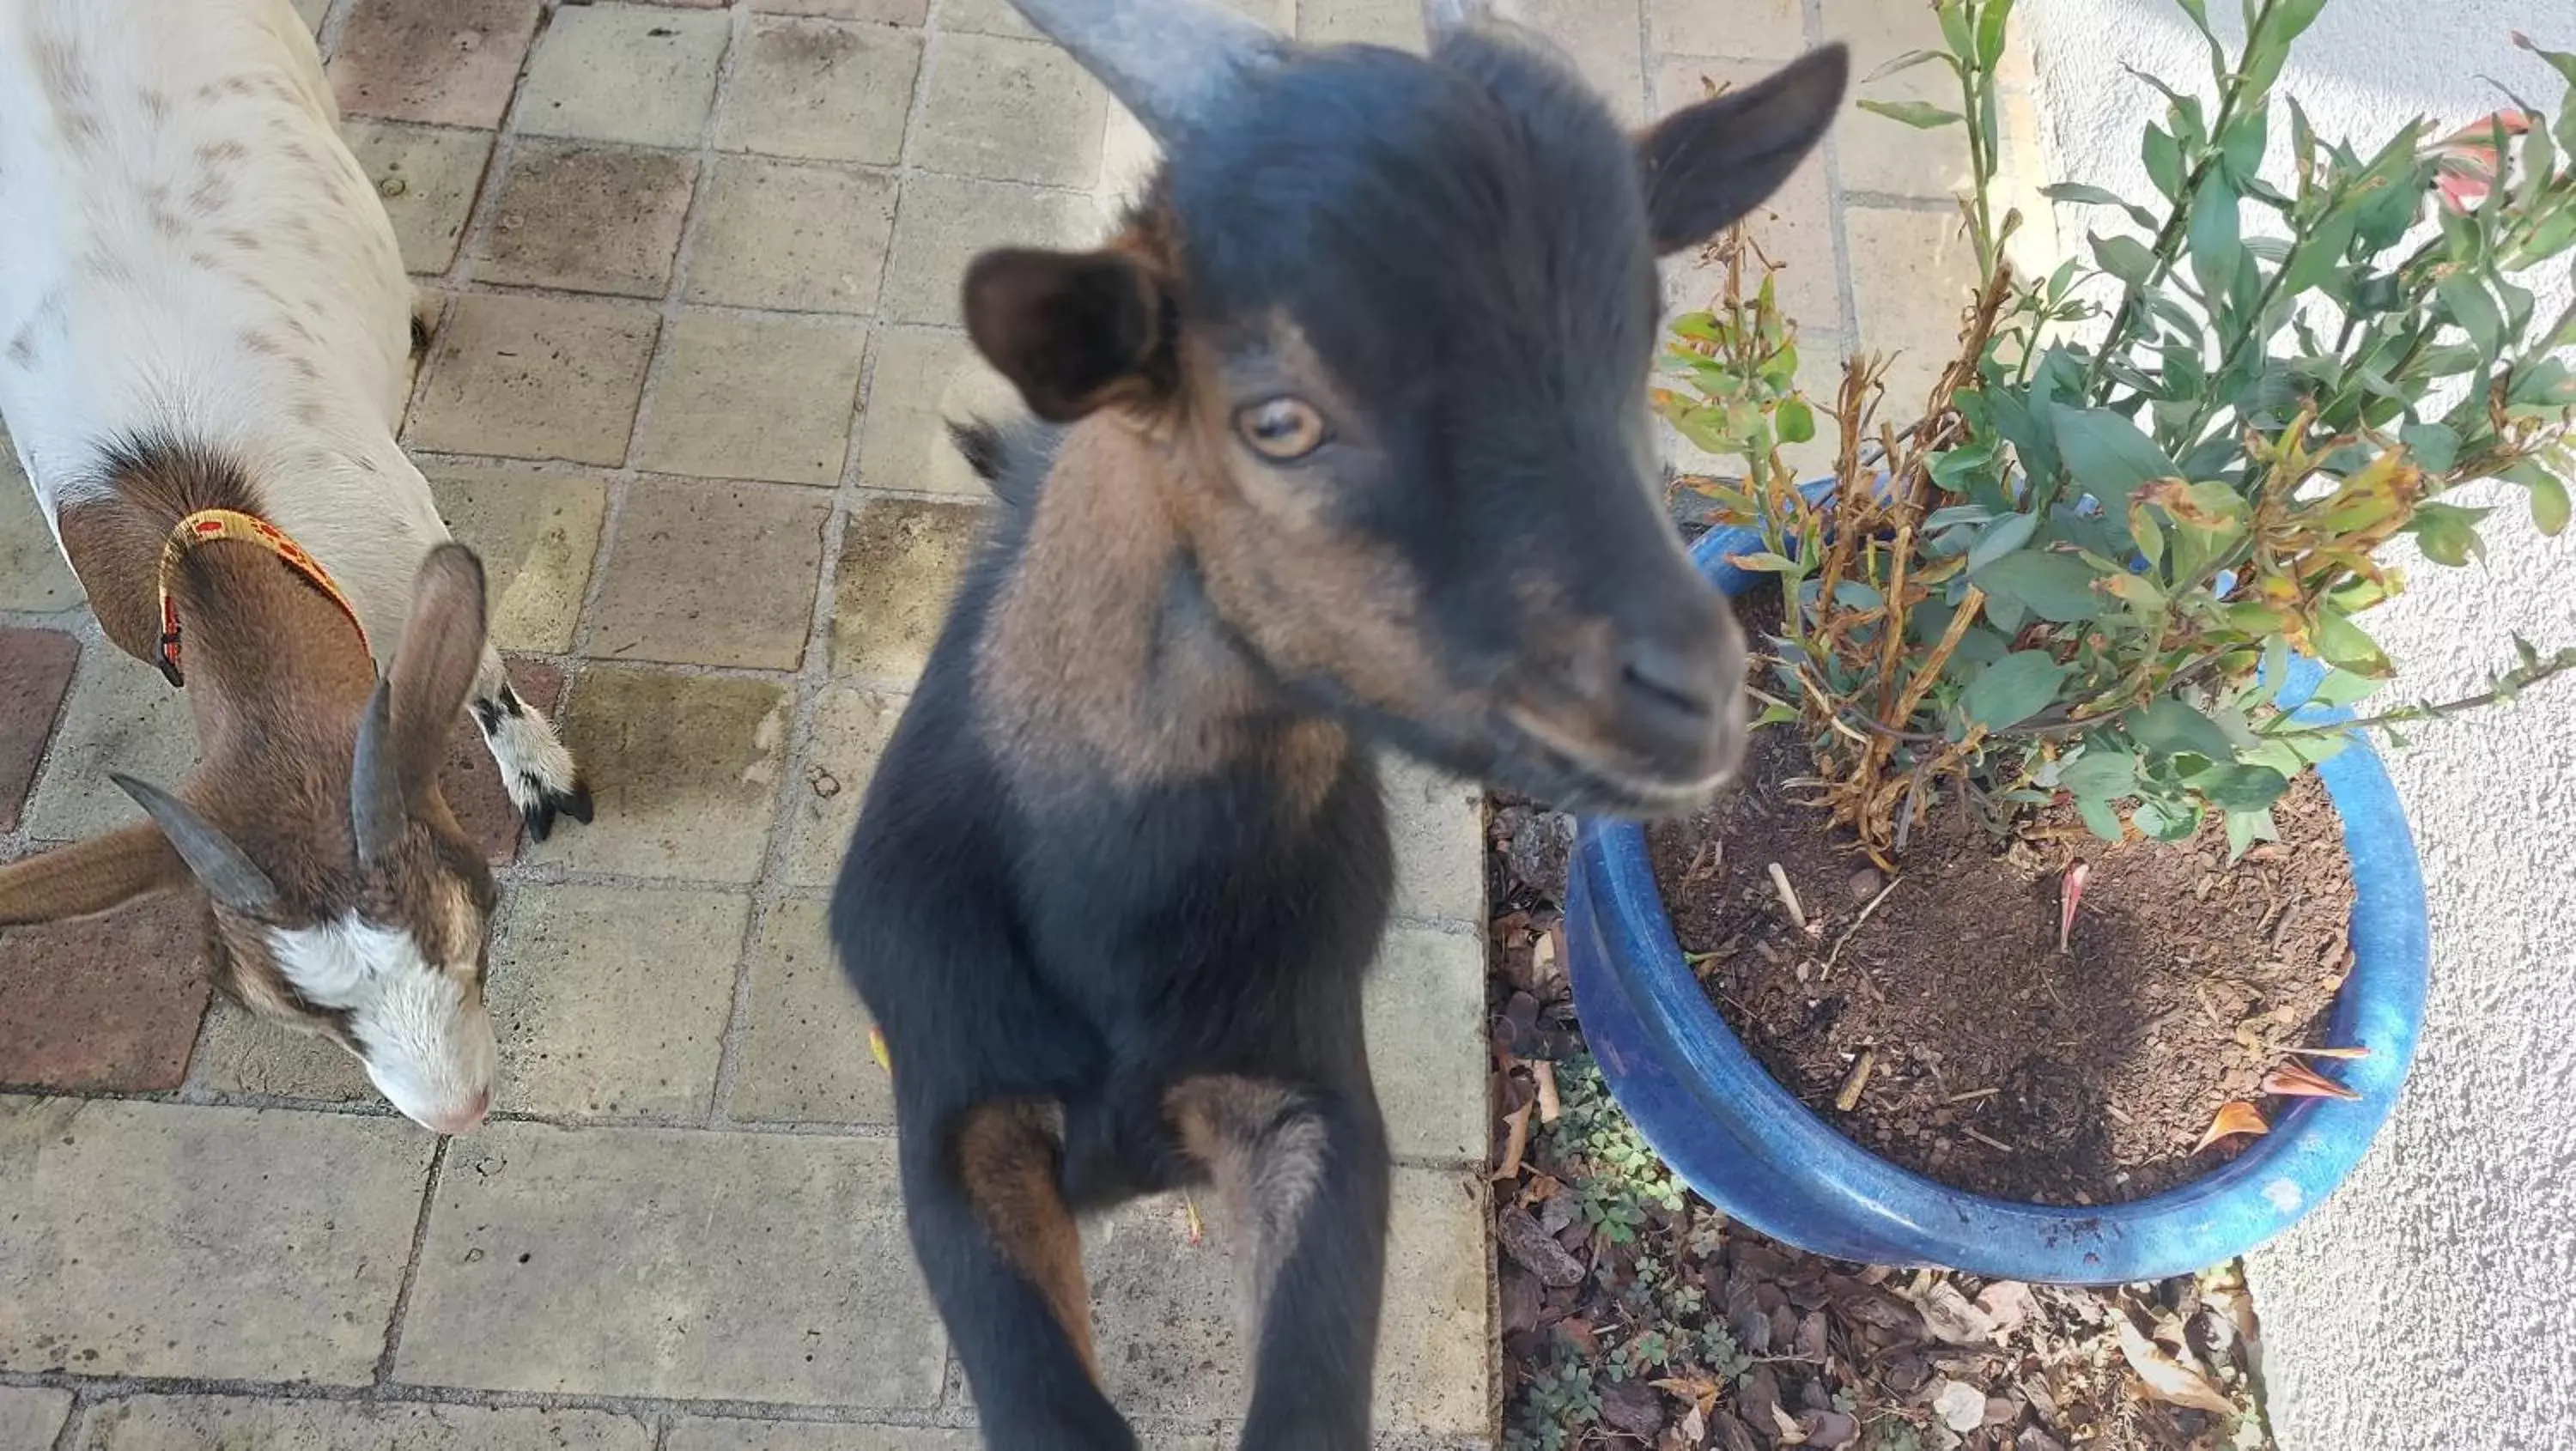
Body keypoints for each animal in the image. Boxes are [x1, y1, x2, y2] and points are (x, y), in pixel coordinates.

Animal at [835, 5, 1844, 1442]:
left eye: (1637, 343)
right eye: (1279, 419)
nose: (1697, 698)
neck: (1116, 922)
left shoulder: (1308, 1088)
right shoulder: (951, 1096)